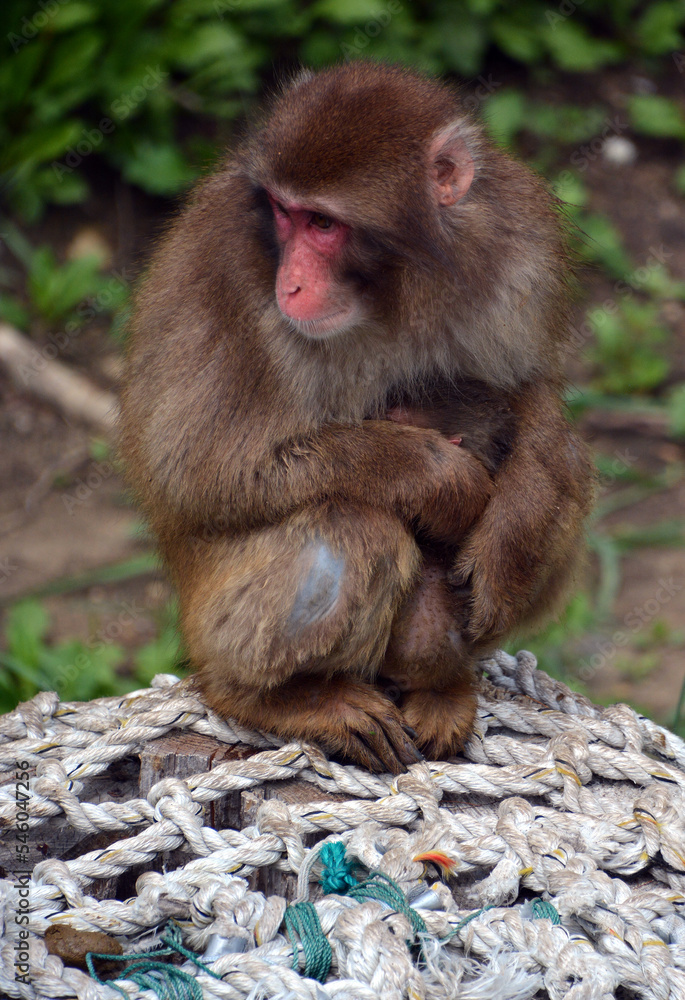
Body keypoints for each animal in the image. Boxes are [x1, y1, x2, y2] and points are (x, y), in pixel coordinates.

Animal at [120, 62, 594, 774]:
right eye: (283, 214)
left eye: (322, 223)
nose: (289, 284)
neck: (391, 289)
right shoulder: (226, 275)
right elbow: (200, 475)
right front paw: (434, 475)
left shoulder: (518, 243)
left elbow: (530, 390)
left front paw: (513, 531)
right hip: (210, 620)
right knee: (352, 526)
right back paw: (276, 698)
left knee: (568, 457)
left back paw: (443, 684)